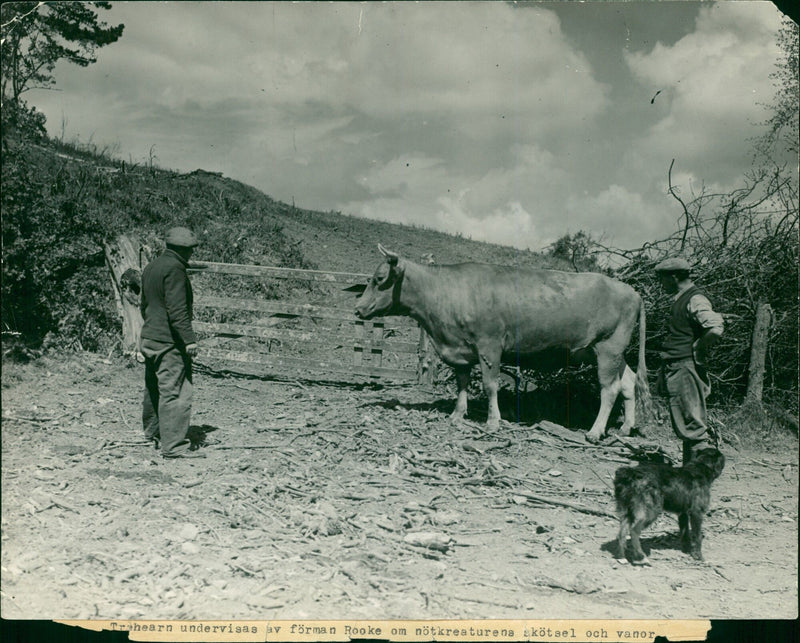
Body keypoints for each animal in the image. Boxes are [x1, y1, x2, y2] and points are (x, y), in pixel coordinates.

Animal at [356, 244, 648, 446]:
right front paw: (457, 414)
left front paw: (493, 421)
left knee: (609, 388)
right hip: (608, 352)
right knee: (628, 382)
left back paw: (595, 432)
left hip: (608, 347)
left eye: (379, 278)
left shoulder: (490, 345)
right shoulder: (460, 350)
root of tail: (631, 291)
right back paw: (626, 428)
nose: (358, 308)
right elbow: (462, 383)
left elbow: (490, 385)